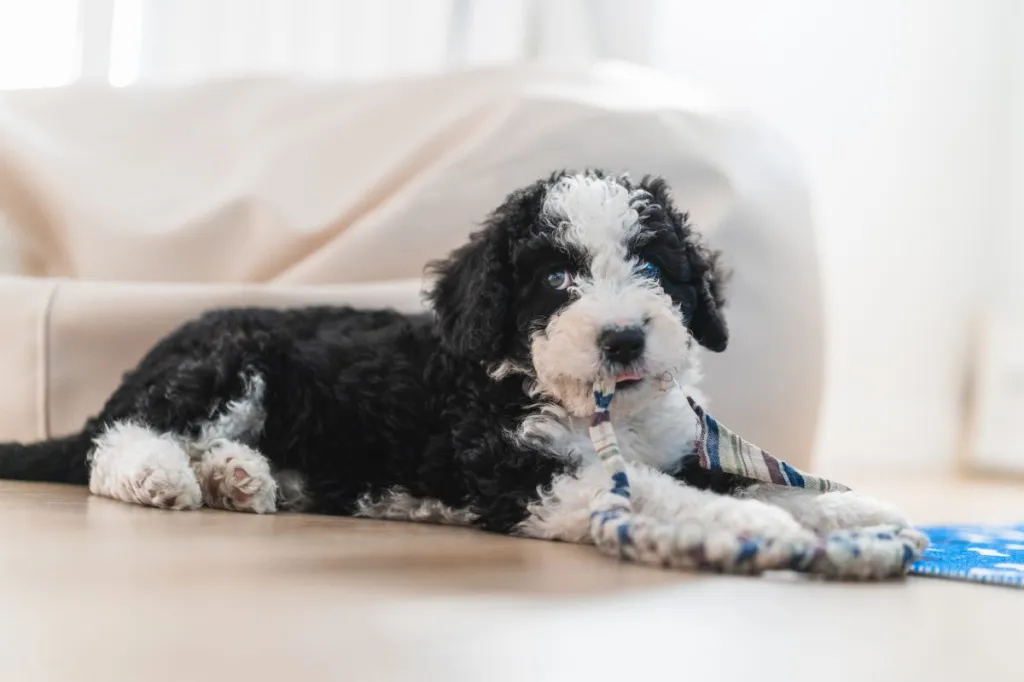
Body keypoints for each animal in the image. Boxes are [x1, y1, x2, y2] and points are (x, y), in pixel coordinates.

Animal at [0, 169, 913, 548]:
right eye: (555, 279)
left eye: (655, 270)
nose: (623, 337)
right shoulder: (527, 472)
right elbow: (651, 493)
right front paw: (750, 526)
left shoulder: (668, 449)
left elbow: (735, 476)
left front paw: (848, 509)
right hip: (232, 357)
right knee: (121, 439)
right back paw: (165, 476)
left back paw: (240, 476)